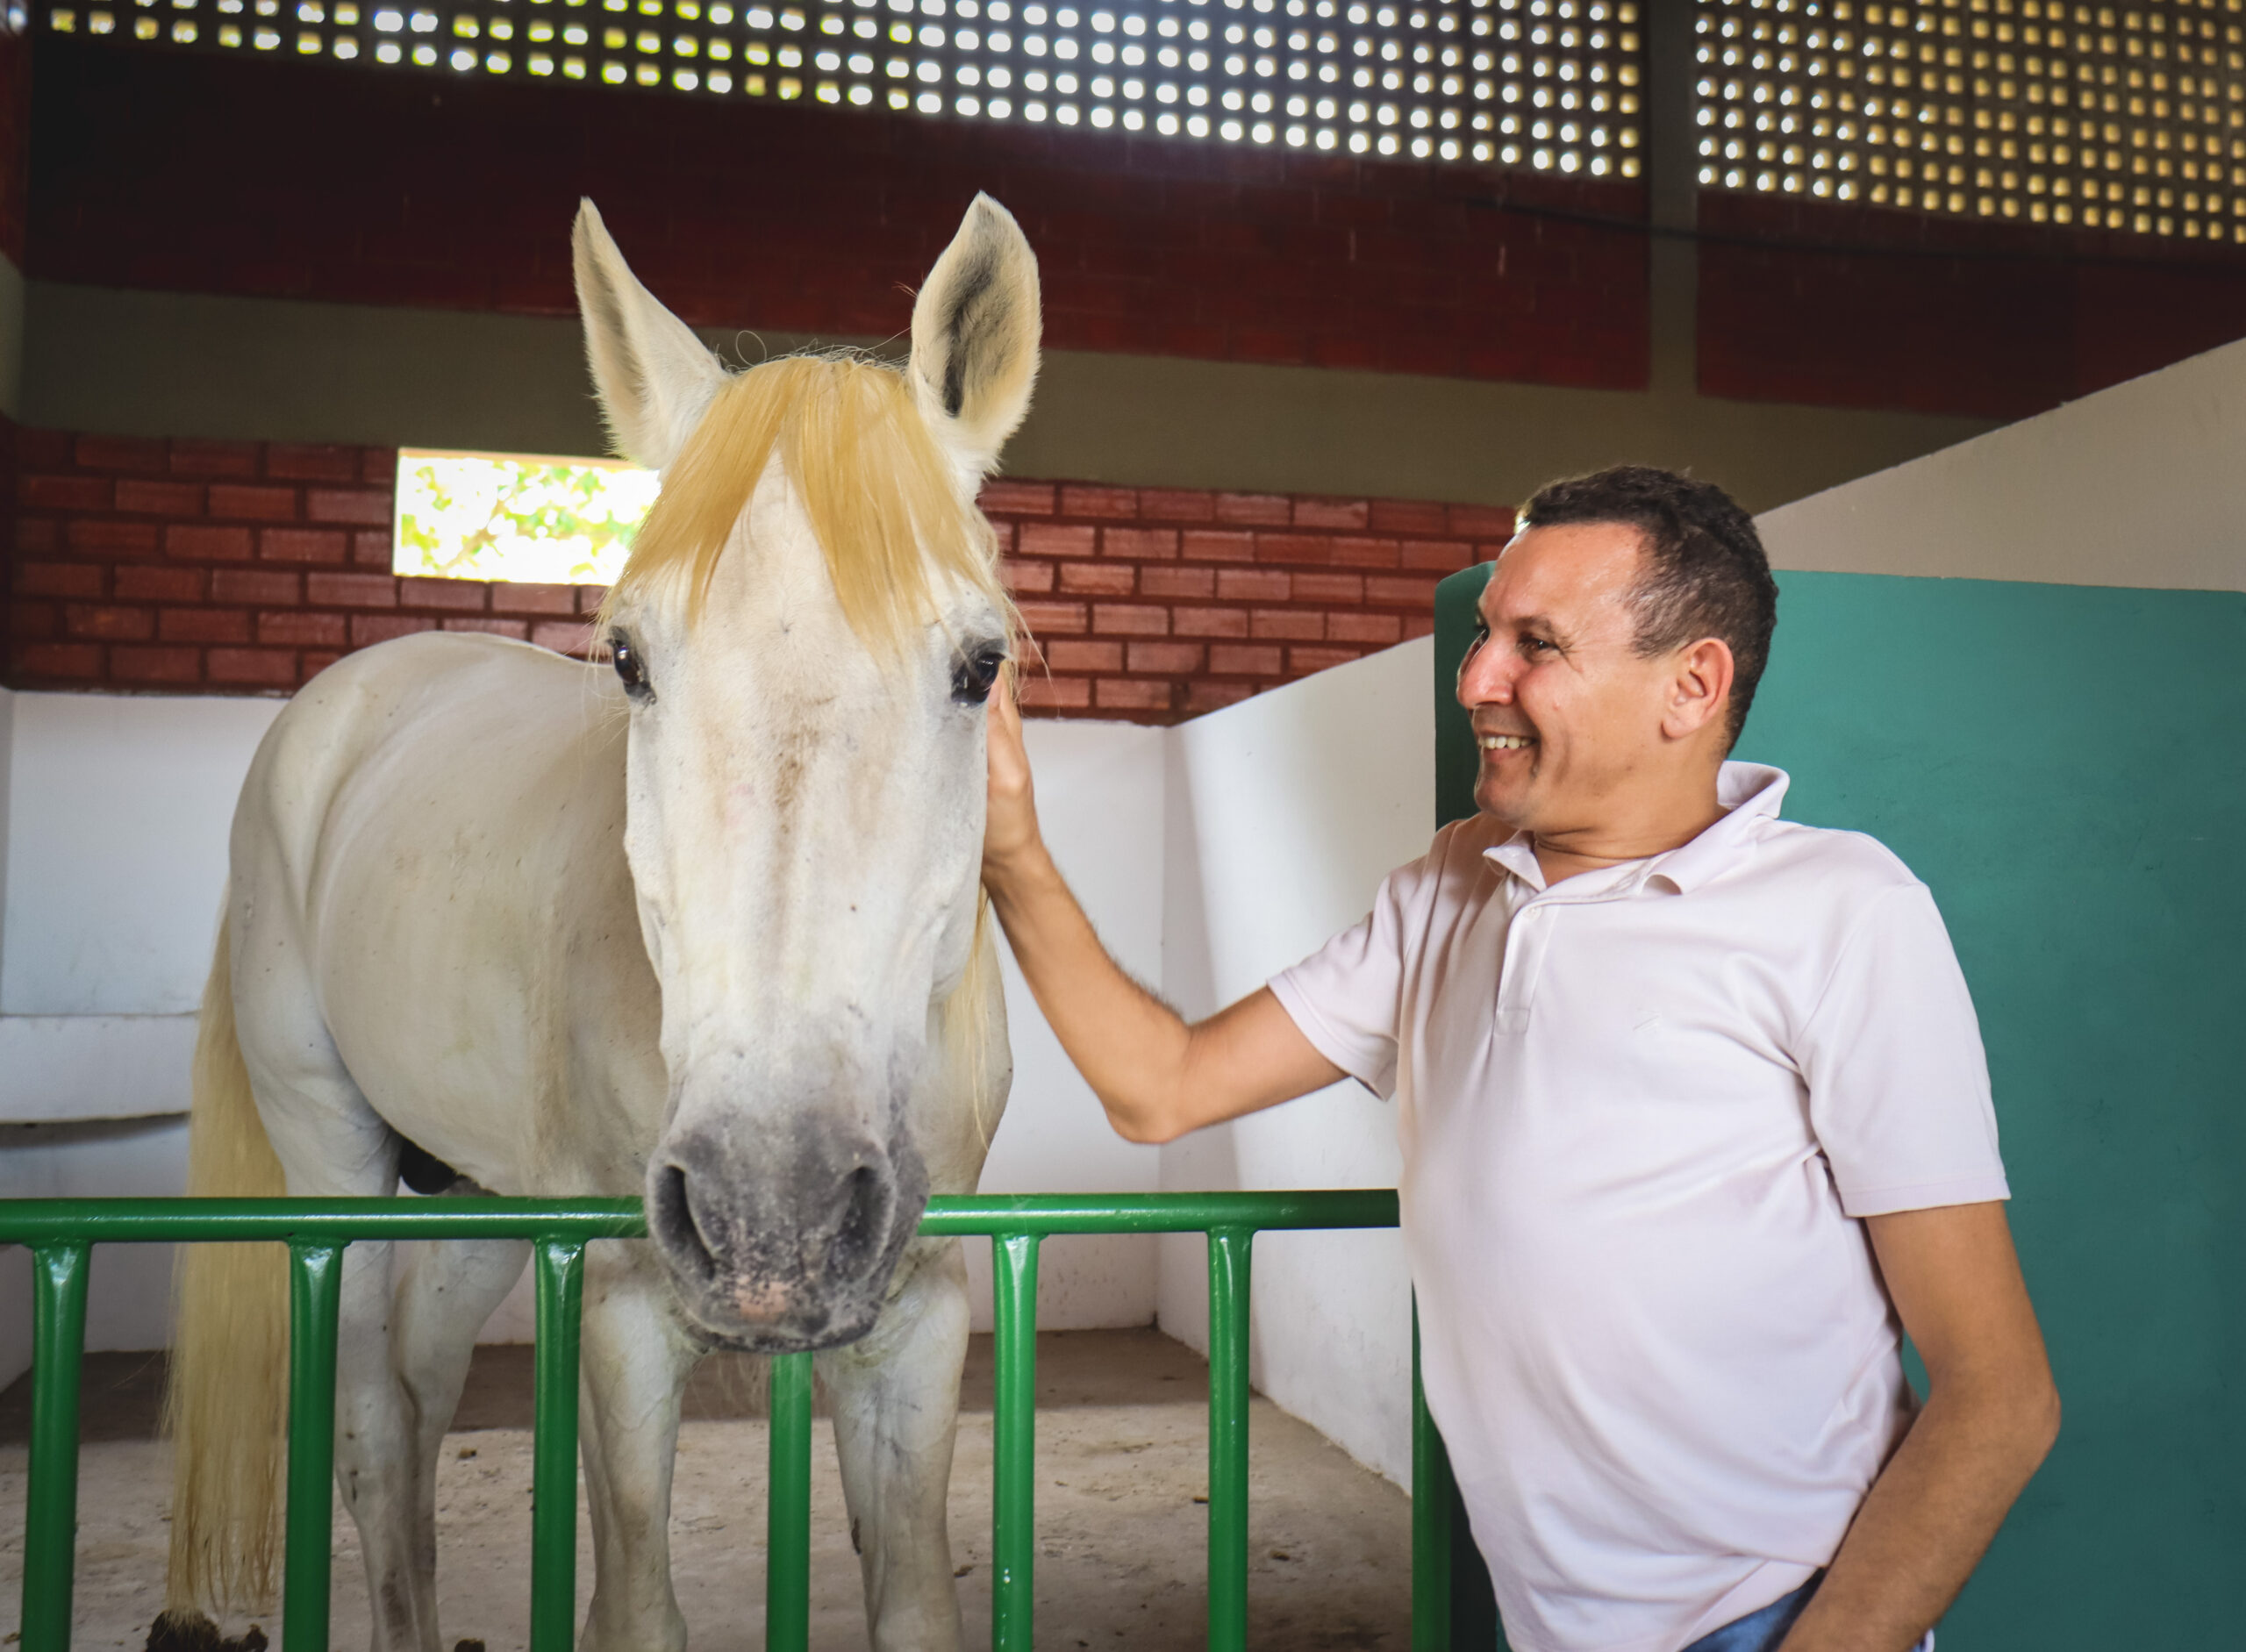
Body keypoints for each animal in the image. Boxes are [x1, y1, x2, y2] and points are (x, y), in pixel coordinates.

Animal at [162, 193, 1037, 1652]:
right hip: (332, 1167)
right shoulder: (625, 1311)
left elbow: (912, 1598)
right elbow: (633, 1604)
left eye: (982, 663)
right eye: (628, 656)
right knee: (370, 1425)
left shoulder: (919, 1312)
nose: (770, 1212)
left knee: (416, 1397)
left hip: (474, 1196)